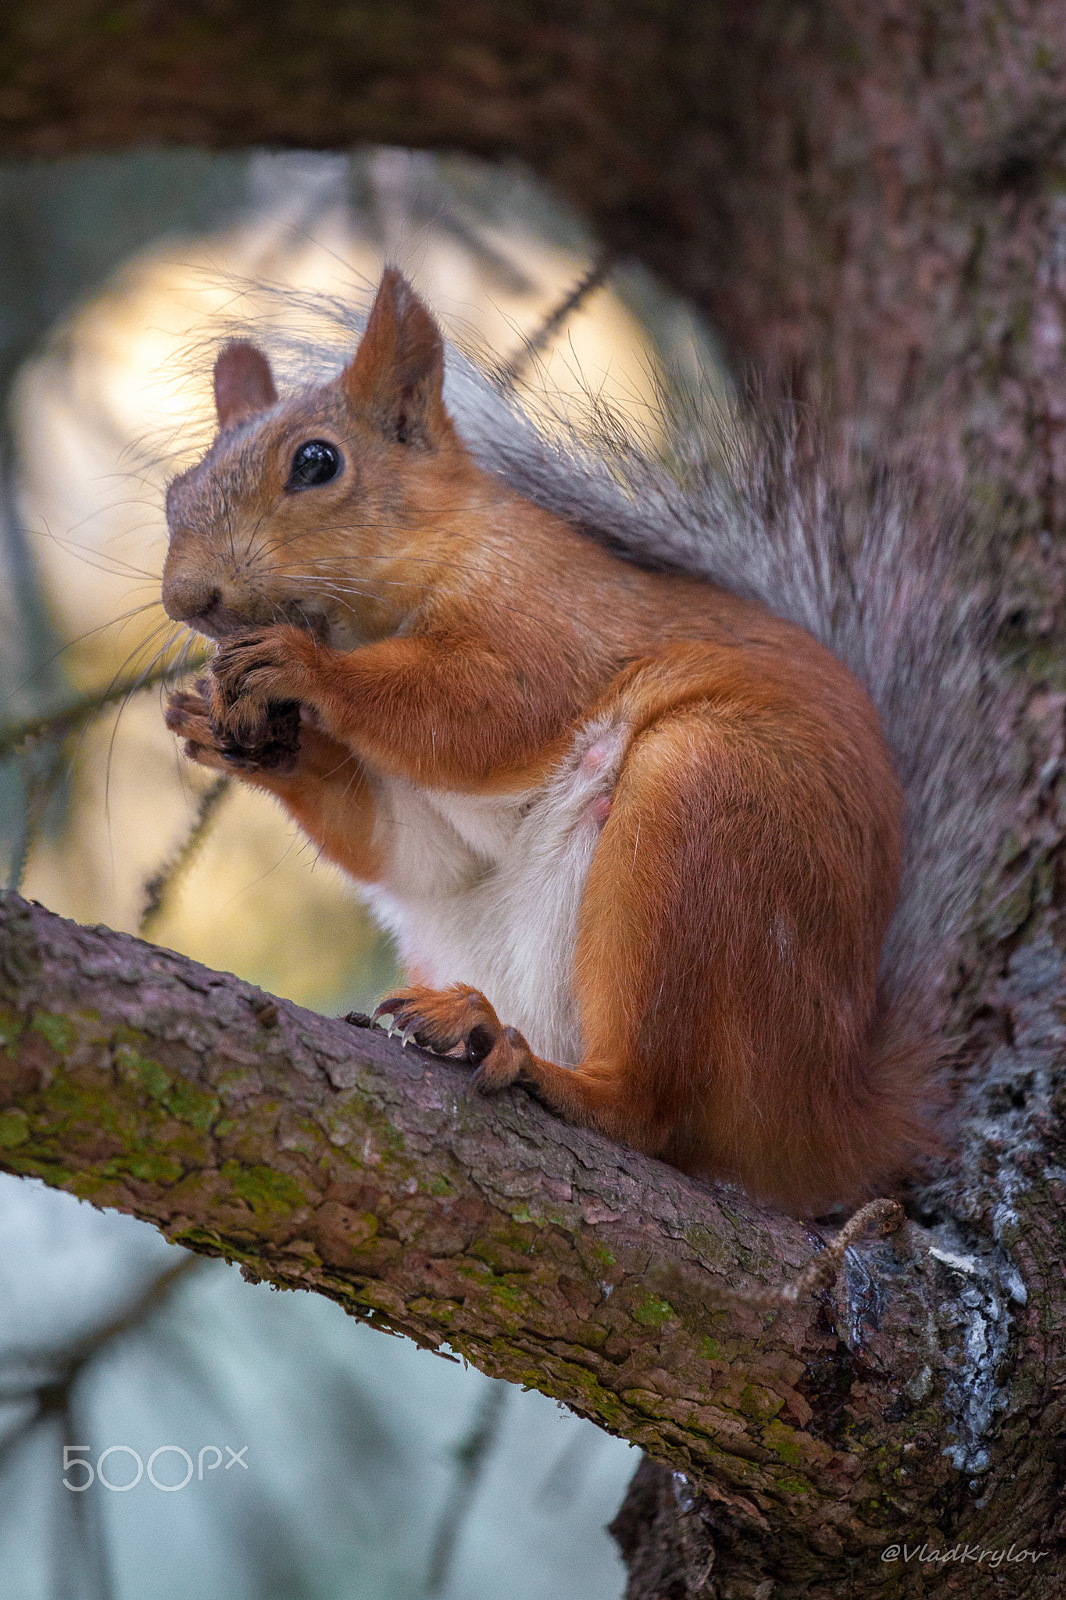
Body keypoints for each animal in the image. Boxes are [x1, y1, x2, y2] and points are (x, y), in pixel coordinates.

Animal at [157, 265, 998, 1209]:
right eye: (174, 495)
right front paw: (234, 732)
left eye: (316, 462)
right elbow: (407, 849)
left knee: (653, 1109)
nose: (187, 598)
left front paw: (304, 668)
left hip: (703, 816)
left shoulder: (553, 620)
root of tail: (833, 1116)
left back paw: (529, 1062)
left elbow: (481, 709)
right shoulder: (424, 822)